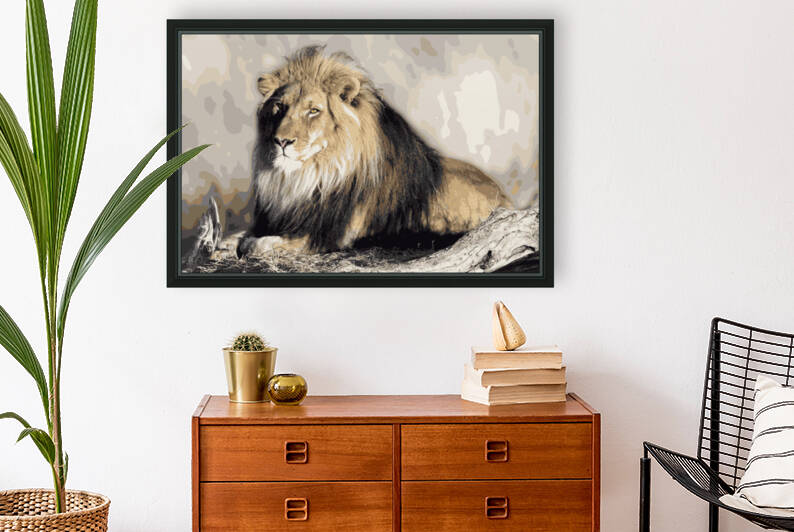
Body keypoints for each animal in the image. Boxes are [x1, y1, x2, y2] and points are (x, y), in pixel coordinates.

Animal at [237, 45, 512, 257]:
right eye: (279, 107)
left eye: (313, 110)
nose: (281, 141)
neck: (310, 176)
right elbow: (242, 236)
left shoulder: (326, 236)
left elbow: (260, 243)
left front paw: (252, 244)